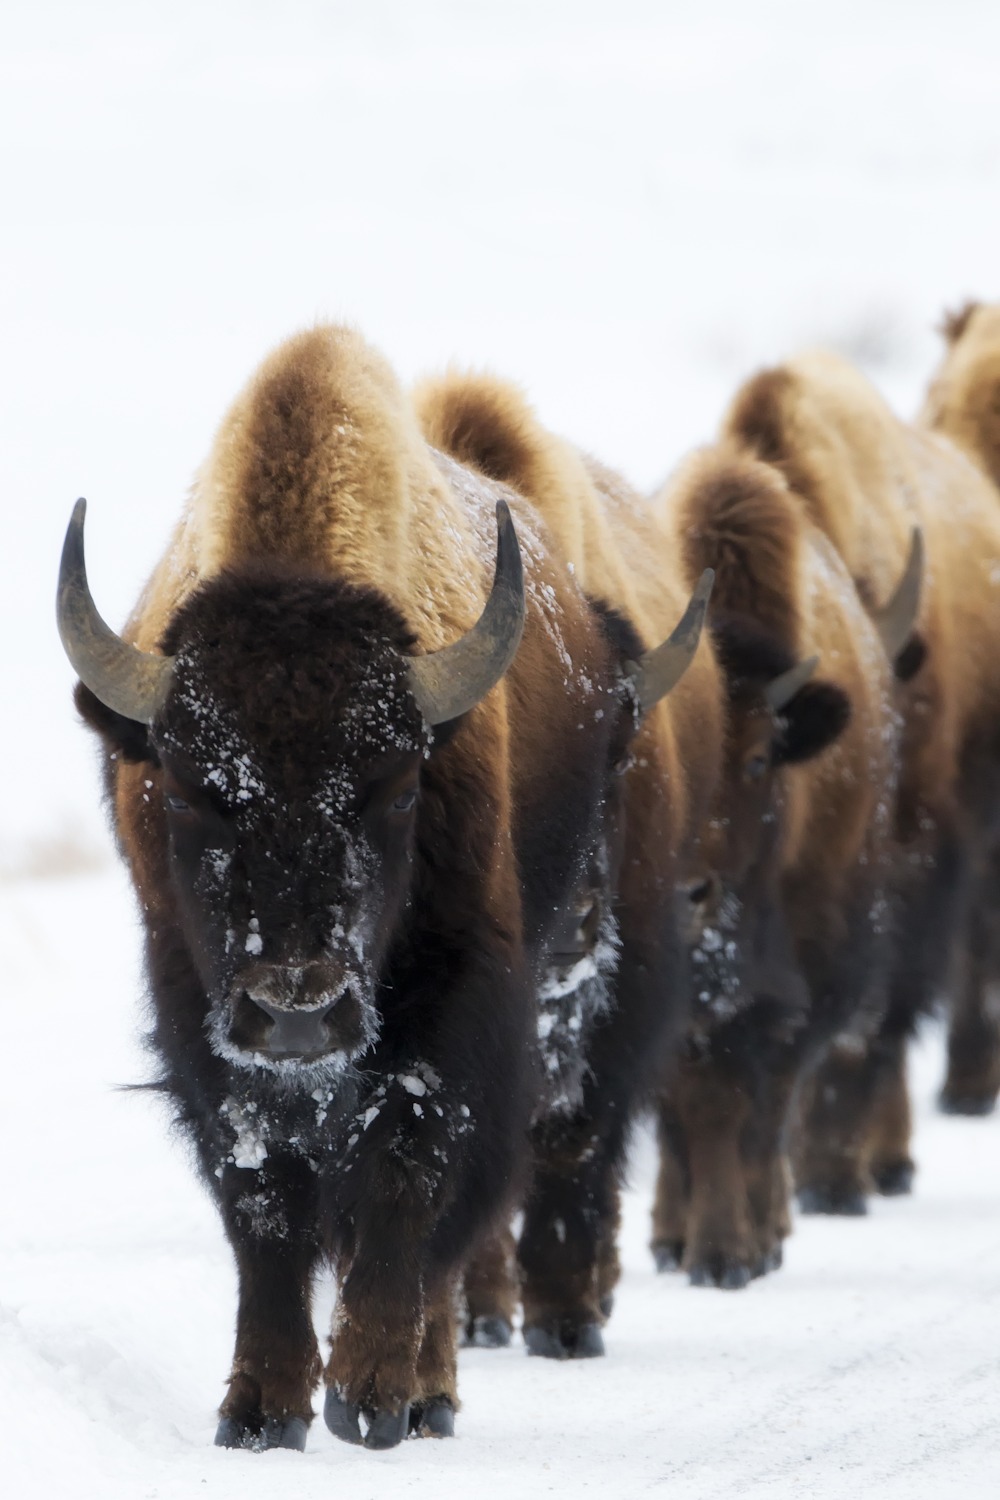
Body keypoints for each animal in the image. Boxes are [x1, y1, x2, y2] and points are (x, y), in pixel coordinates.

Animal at [56, 322, 710, 1446]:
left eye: (394, 784)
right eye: (189, 789)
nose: (297, 1007)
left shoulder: (457, 1015)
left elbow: (410, 1178)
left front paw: (368, 1395)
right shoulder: (199, 1016)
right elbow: (265, 1204)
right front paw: (260, 1411)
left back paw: (442, 1383)